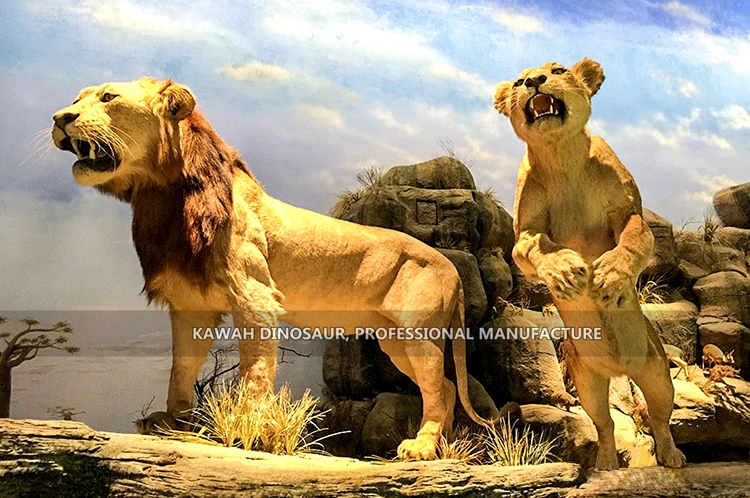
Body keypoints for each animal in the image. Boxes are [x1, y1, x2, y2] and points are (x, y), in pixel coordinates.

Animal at [51, 77, 516, 460]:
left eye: (108, 97)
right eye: (76, 98)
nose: (59, 118)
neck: (162, 197)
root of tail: (452, 267)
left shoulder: (255, 297)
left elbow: (255, 372)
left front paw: (246, 428)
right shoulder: (190, 306)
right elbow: (180, 369)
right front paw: (170, 421)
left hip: (417, 332)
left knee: (439, 384)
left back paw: (420, 448)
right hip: (395, 340)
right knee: (448, 385)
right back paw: (436, 445)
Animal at [493, 59, 686, 469]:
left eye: (557, 70)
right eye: (518, 81)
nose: (534, 81)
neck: (562, 158)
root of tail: (620, 371)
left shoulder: (629, 212)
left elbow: (634, 240)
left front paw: (610, 275)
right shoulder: (524, 233)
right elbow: (536, 249)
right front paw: (566, 270)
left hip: (657, 372)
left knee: (660, 418)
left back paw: (672, 456)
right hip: (587, 383)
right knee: (605, 424)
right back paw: (607, 462)